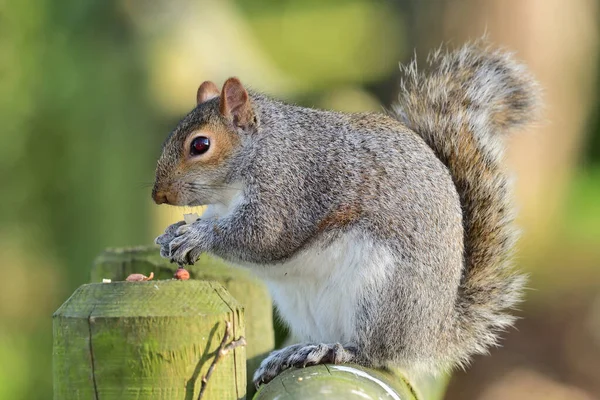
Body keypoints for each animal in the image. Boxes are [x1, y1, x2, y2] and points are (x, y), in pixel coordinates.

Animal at [152, 41, 540, 388]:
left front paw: (198, 236)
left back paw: (333, 350)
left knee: (375, 353)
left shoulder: (288, 190)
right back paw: (290, 354)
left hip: (379, 293)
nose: (158, 195)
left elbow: (263, 238)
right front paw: (171, 233)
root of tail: (431, 333)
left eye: (200, 145)